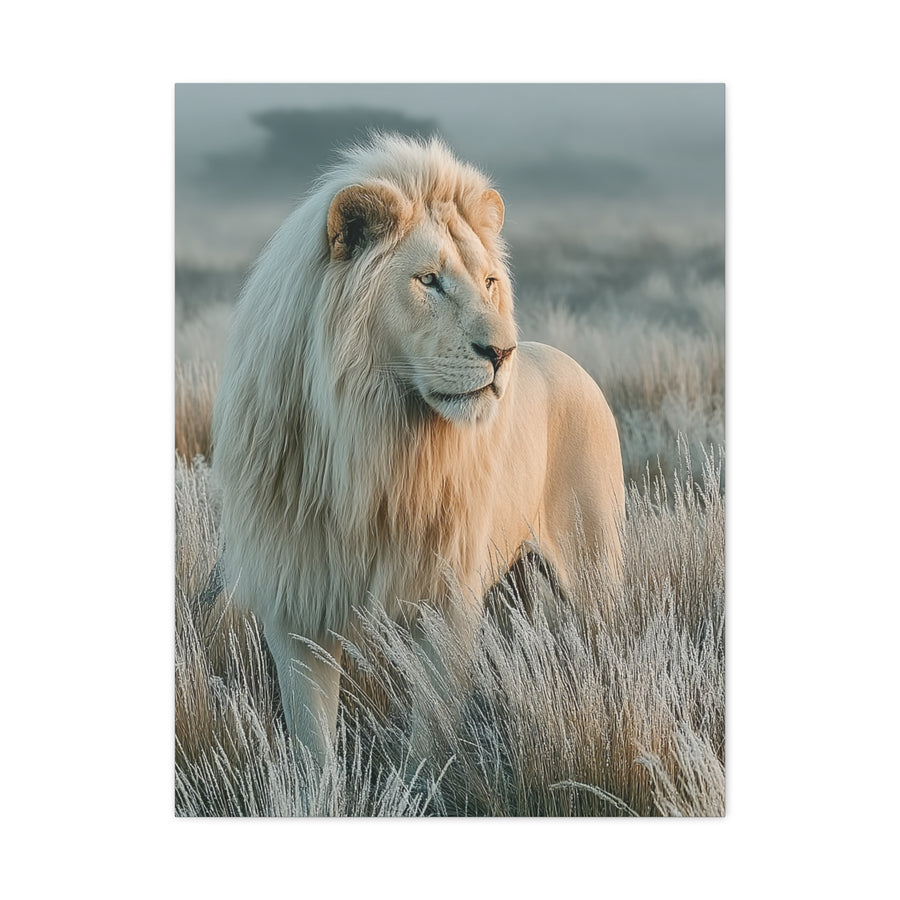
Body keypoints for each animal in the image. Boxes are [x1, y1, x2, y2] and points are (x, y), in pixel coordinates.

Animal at [212, 134, 625, 765]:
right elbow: (313, 747)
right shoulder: (296, 599)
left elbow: (429, 735)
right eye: (428, 280)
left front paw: (419, 782)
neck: (371, 440)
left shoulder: (444, 599)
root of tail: (567, 359)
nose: (502, 353)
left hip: (594, 568)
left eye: (489, 283)